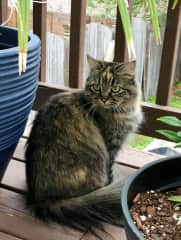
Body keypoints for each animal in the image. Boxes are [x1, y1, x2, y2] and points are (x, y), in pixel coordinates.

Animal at [25, 56, 143, 238]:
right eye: (97, 87)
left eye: (115, 89)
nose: (103, 99)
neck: (123, 110)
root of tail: (43, 199)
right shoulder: (110, 147)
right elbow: (110, 171)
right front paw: (111, 181)